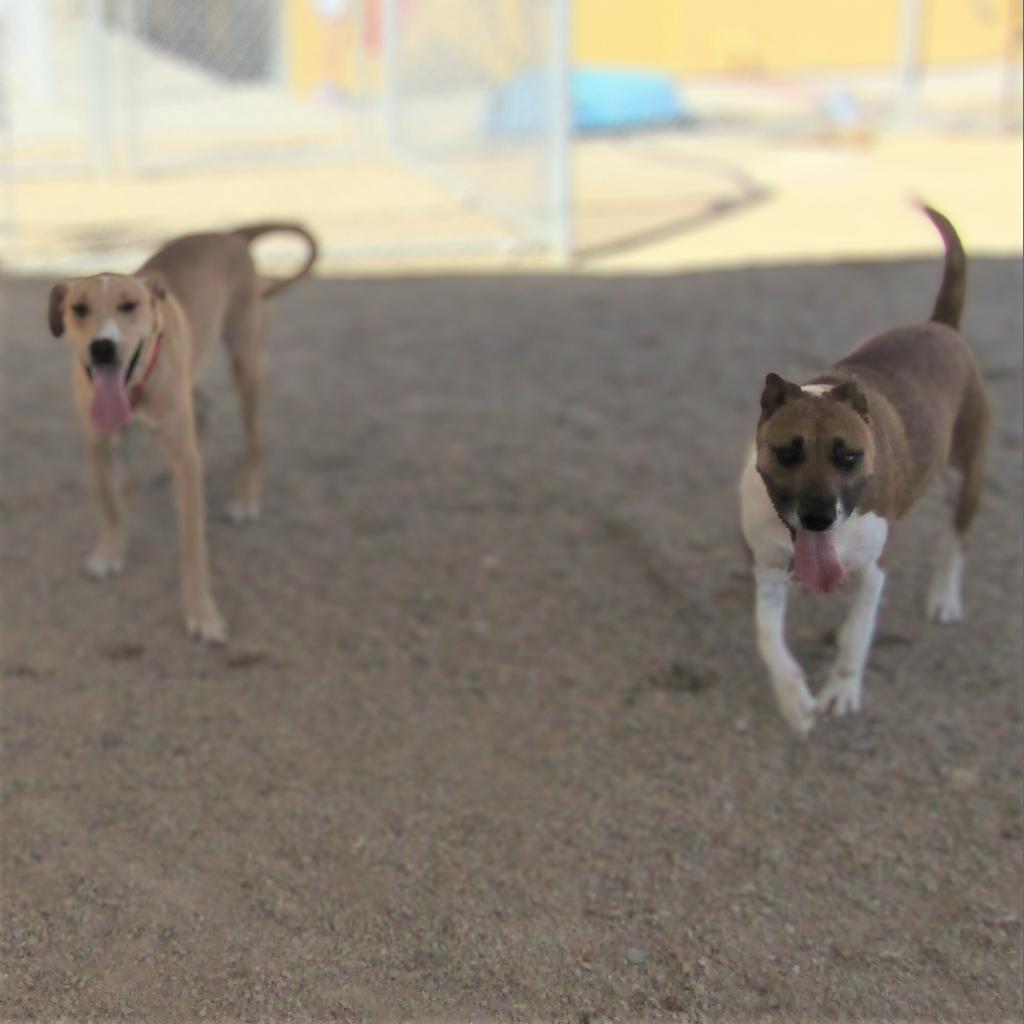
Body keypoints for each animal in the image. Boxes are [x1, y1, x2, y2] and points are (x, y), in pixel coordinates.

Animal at [47, 224, 315, 643]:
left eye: (129, 306)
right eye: (79, 309)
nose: (102, 347)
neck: (134, 388)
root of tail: (229, 234)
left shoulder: (185, 466)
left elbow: (192, 546)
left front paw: (202, 613)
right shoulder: (97, 446)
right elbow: (110, 505)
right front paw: (108, 553)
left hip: (246, 363)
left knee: (254, 440)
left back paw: (244, 498)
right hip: (194, 373)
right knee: (203, 410)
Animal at [741, 205, 987, 737]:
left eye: (849, 456)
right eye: (787, 453)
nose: (818, 518)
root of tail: (941, 326)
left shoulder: (873, 574)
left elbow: (859, 635)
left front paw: (841, 689)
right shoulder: (767, 571)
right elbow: (768, 639)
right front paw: (793, 697)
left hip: (967, 476)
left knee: (956, 538)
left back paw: (944, 596)